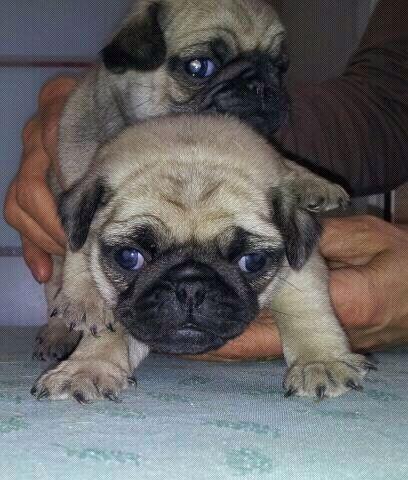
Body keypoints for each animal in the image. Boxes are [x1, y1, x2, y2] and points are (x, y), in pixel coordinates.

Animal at [30, 114, 372, 404]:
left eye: (252, 261)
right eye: (130, 257)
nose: (190, 287)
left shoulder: (300, 262)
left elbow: (305, 309)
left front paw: (321, 361)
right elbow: (92, 288)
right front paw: (86, 365)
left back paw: (317, 185)